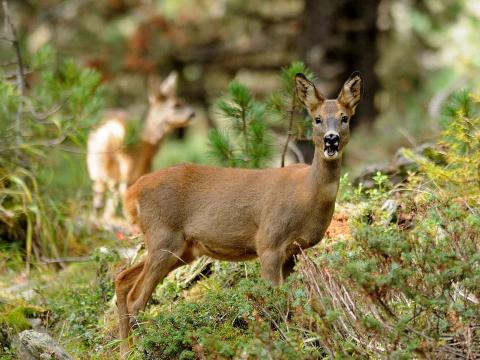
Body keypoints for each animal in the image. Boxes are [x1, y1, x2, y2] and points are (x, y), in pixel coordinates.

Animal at [86, 72, 193, 219]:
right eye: (176, 105)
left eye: (182, 100)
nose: (192, 113)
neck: (149, 146)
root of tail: (110, 129)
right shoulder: (143, 170)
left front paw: (108, 217)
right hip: (127, 164)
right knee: (121, 193)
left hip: (95, 163)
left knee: (99, 195)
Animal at [114, 70, 362, 354]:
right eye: (317, 119)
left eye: (345, 117)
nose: (331, 139)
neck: (306, 194)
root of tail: (132, 193)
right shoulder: (269, 241)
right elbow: (273, 300)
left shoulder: (293, 252)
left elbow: (287, 300)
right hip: (164, 236)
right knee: (136, 299)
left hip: (181, 248)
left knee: (122, 279)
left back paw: (125, 350)